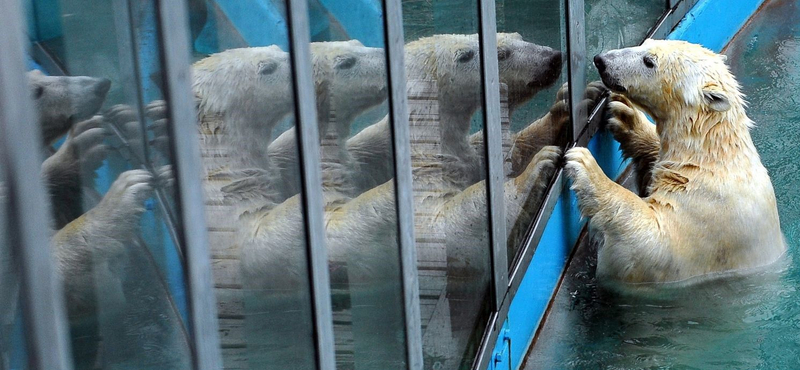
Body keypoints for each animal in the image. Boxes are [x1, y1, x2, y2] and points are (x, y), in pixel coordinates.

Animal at [564, 39, 784, 284]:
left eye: (649, 61)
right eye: (645, 44)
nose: (602, 60)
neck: (708, 157)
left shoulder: (706, 213)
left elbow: (651, 243)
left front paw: (586, 166)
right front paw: (626, 115)